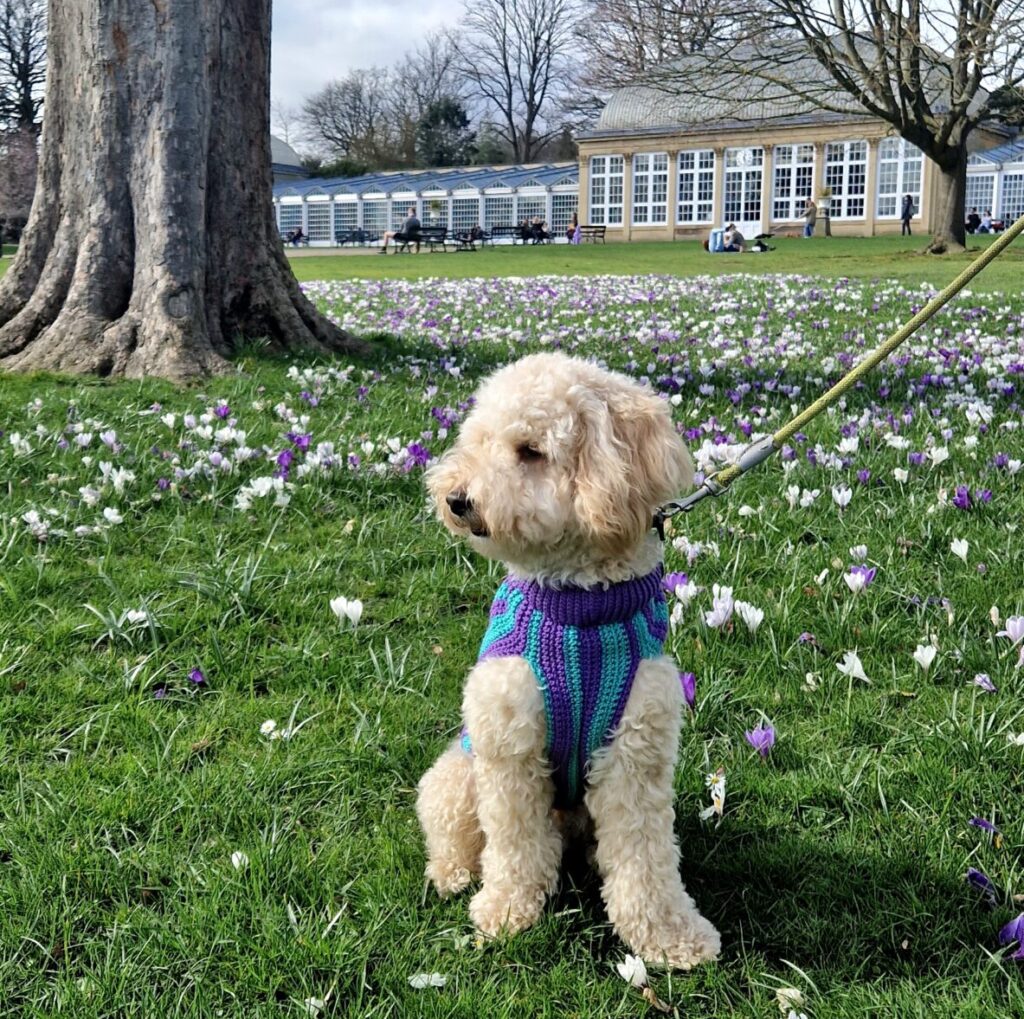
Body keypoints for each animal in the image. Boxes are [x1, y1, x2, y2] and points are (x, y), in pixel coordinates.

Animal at [413, 354, 720, 966]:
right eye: (479, 440)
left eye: (530, 450)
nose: (456, 498)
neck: (580, 609)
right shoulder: (509, 748)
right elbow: (513, 846)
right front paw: (506, 911)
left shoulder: (635, 756)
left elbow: (646, 862)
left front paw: (670, 937)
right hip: (456, 775)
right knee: (455, 833)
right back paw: (453, 873)